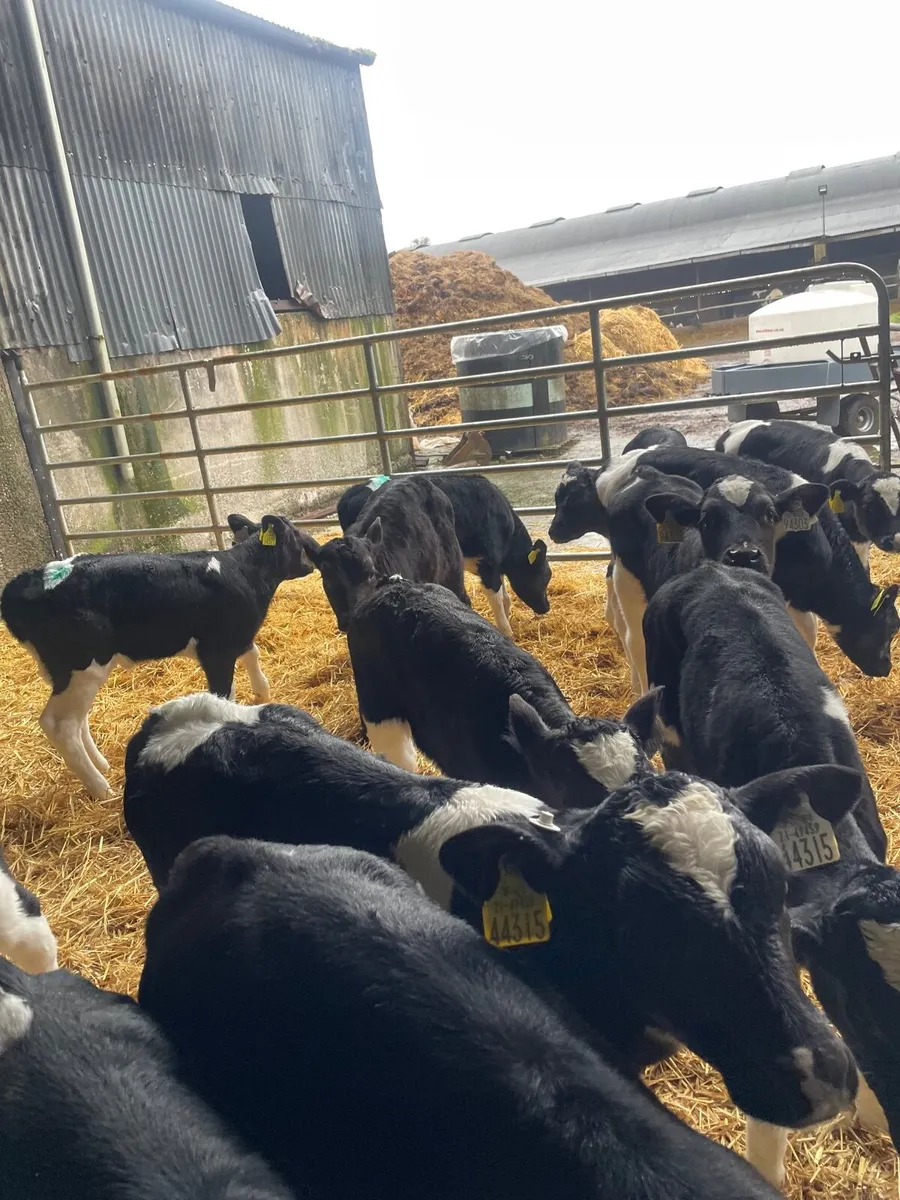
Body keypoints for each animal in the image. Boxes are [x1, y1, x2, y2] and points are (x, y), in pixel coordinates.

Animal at [1, 515, 317, 797]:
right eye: (296, 533)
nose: (314, 551)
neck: (242, 572)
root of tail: (19, 585)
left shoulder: (236, 637)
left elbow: (252, 653)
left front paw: (263, 691)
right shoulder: (216, 651)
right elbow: (224, 694)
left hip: (70, 675)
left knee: (77, 720)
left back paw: (102, 766)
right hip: (82, 666)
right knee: (60, 724)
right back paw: (101, 789)